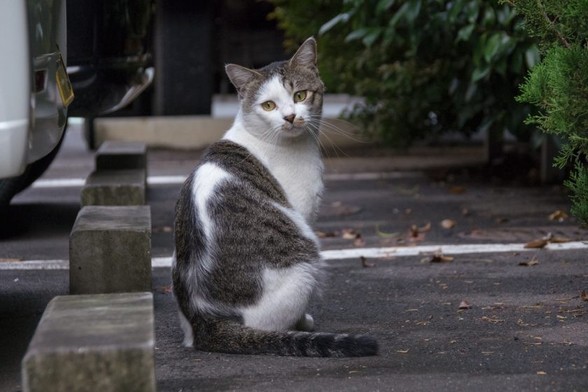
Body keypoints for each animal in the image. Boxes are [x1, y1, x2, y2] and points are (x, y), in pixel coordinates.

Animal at [172, 38, 378, 356]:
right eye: (268, 105)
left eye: (300, 95)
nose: (290, 116)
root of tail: (206, 320)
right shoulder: (302, 211)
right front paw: (305, 323)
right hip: (305, 260)